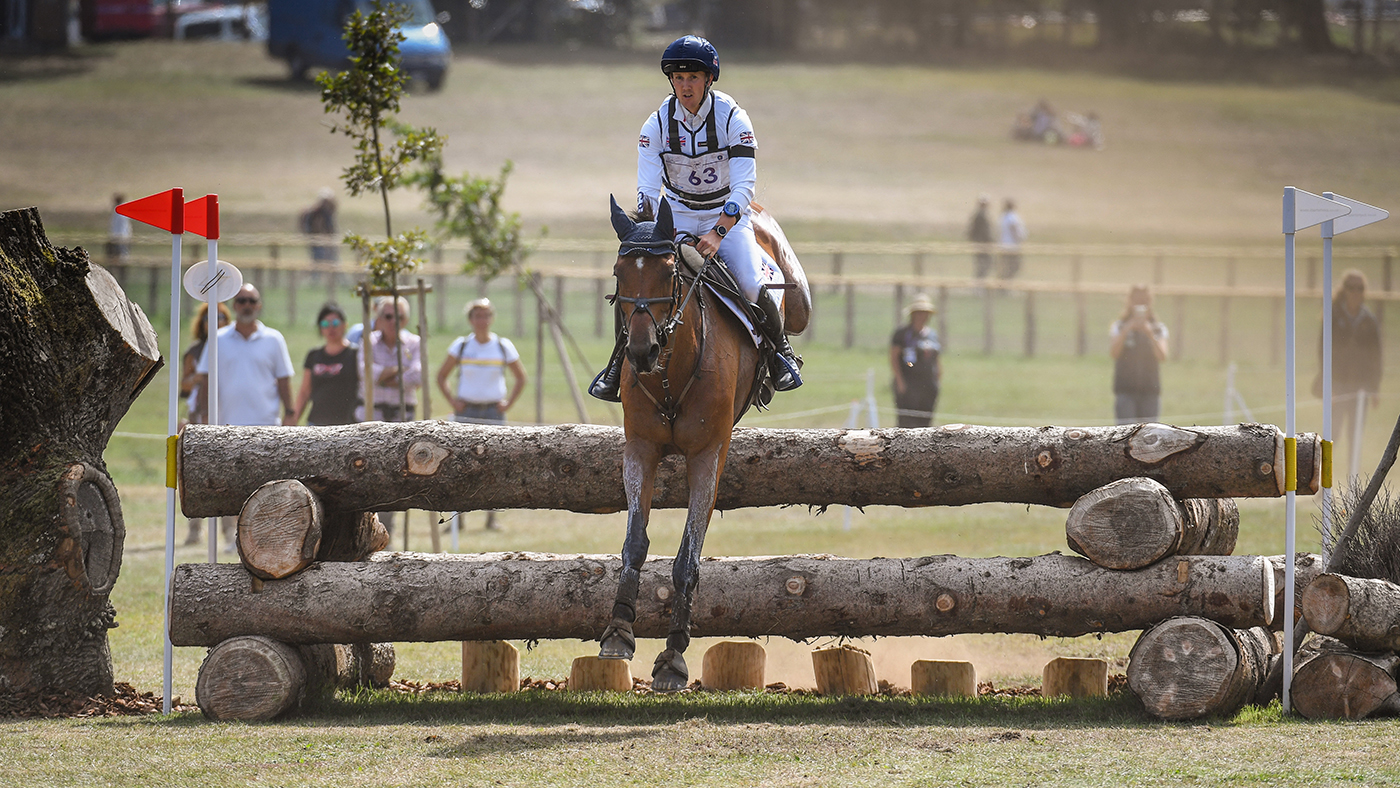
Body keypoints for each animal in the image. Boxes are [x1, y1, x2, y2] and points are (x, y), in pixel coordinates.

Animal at [597, 195, 810, 691]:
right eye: (619, 272)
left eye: (668, 272)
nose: (641, 352)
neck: (672, 371)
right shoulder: (640, 449)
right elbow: (635, 541)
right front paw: (618, 630)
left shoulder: (707, 456)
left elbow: (687, 559)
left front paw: (673, 656)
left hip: (795, 296)